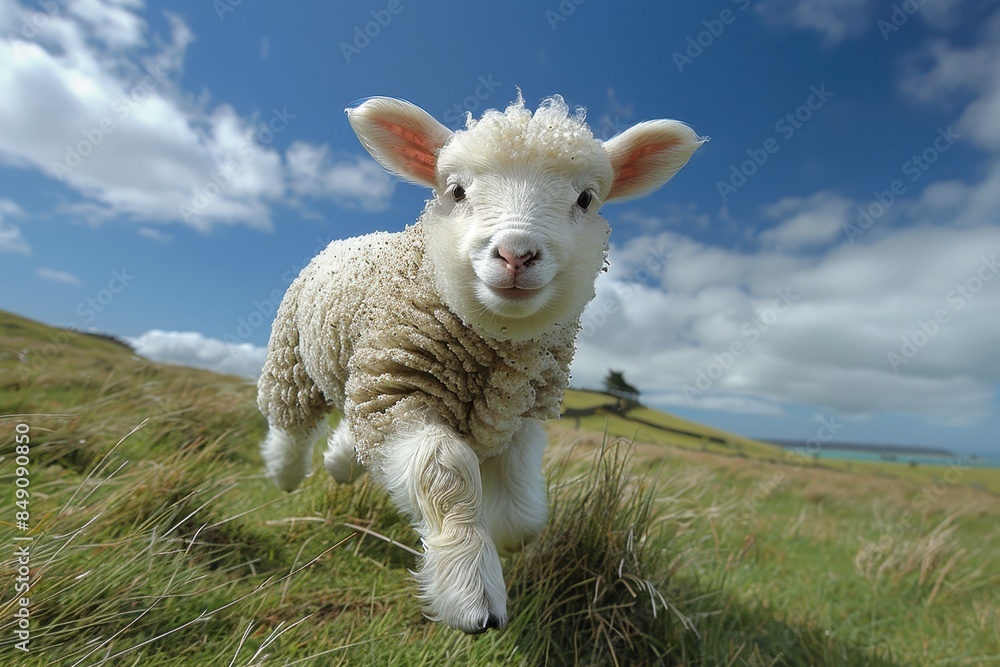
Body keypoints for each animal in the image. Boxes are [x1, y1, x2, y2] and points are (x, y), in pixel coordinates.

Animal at [257, 93, 703, 634]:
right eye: (456, 190)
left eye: (585, 199)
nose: (516, 255)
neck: (495, 349)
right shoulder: (403, 393)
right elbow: (446, 472)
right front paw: (473, 591)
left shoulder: (516, 413)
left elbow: (522, 504)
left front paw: (509, 537)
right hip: (293, 359)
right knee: (292, 423)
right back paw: (286, 472)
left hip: (364, 378)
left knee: (352, 425)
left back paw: (342, 462)